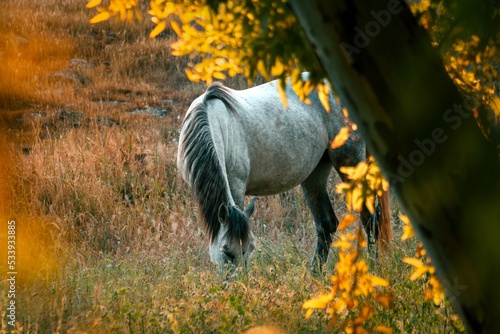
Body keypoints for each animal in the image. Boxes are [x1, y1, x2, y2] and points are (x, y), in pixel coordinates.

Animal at [178, 74, 392, 268]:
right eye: (225, 252)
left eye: (249, 249)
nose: (239, 285)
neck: (214, 121)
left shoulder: (236, 186)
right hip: (315, 174)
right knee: (327, 224)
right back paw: (315, 275)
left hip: (349, 161)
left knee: (370, 219)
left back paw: (373, 268)